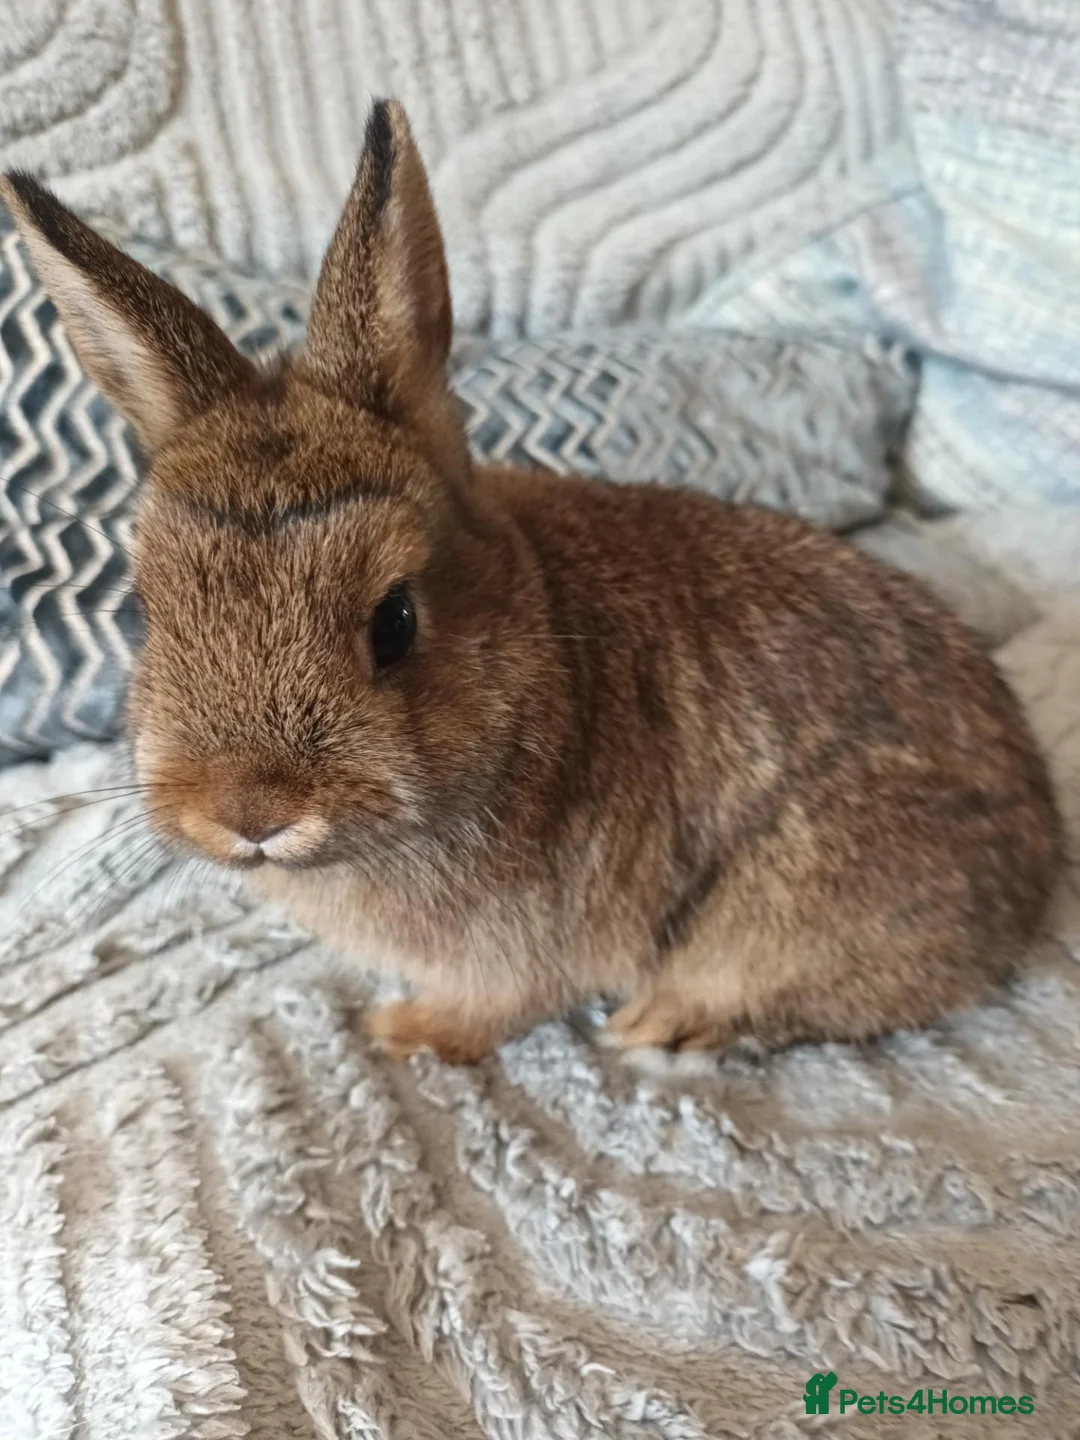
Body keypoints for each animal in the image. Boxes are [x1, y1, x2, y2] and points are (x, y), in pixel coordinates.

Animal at [1, 100, 1062, 1066]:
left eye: (396, 620)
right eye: (146, 611)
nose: (249, 813)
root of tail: (1036, 851)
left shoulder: (527, 948)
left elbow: (492, 1009)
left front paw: (402, 1033)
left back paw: (660, 1024)